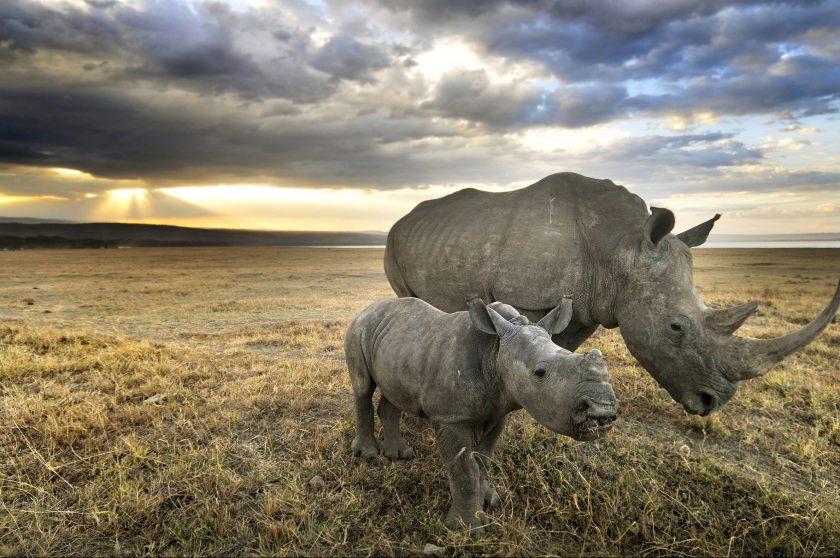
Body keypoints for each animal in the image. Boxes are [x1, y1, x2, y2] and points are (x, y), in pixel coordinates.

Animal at [342, 298, 616, 532]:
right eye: (540, 372)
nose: (604, 411)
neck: (495, 352)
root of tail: (368, 308)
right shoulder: (452, 417)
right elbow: (465, 469)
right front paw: (467, 528)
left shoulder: (498, 412)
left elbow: (483, 459)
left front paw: (490, 502)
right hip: (358, 329)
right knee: (363, 386)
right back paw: (368, 454)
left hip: (397, 343)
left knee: (393, 393)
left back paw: (400, 455)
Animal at [388, 173, 840, 418]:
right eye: (675, 327)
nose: (713, 403)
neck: (621, 246)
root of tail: (404, 217)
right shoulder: (528, 296)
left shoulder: (589, 304)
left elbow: (560, 349)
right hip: (395, 240)